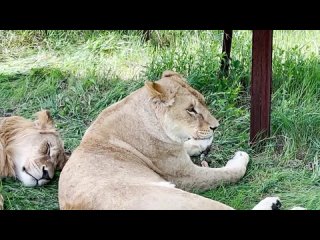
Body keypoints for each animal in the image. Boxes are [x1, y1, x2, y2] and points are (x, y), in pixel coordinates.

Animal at [58, 70, 278, 209]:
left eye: (203, 101)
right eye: (191, 110)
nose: (216, 126)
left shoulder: (176, 150)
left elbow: (188, 144)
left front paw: (201, 143)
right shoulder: (186, 175)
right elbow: (229, 173)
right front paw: (239, 157)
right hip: (183, 199)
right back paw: (275, 202)